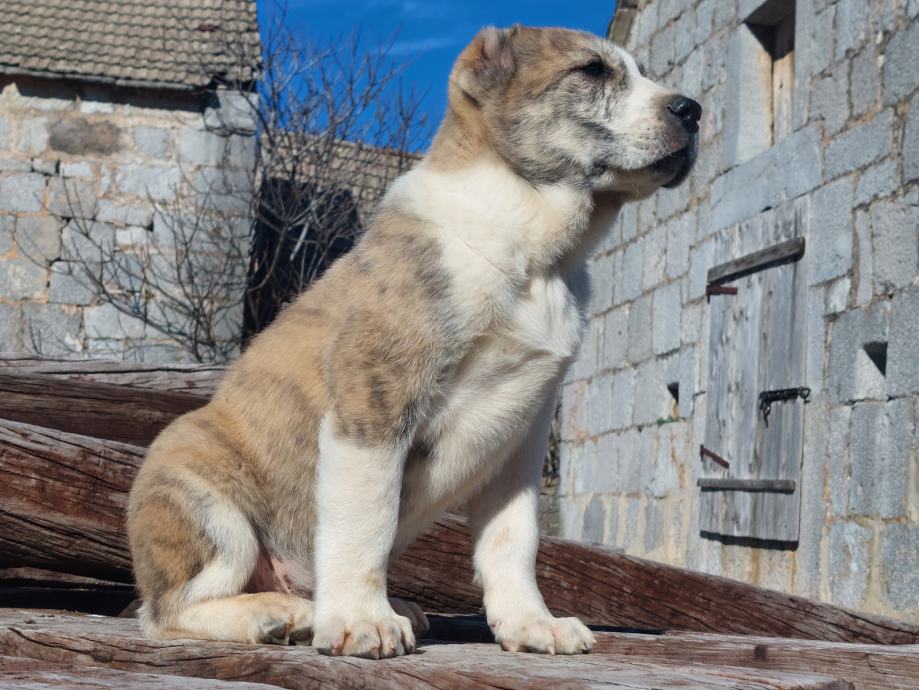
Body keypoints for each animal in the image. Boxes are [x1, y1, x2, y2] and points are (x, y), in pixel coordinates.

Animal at [127, 25, 699, 659]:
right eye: (592, 71)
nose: (693, 110)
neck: (533, 257)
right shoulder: (374, 404)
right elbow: (366, 522)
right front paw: (360, 619)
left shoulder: (518, 443)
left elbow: (514, 541)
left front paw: (530, 622)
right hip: (201, 490)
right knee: (165, 611)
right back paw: (274, 612)